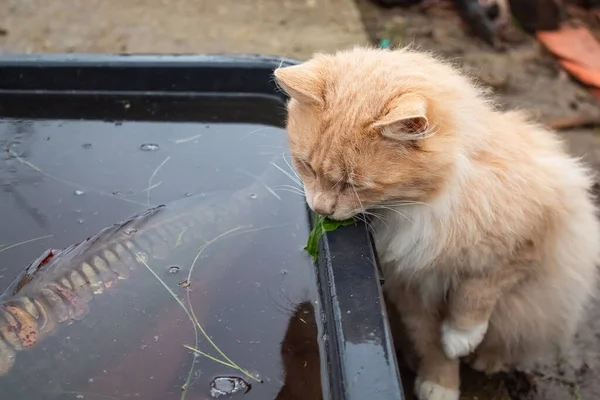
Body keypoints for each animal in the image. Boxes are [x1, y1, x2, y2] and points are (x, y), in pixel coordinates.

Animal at [274, 46, 600, 400]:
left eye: (355, 185)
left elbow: (477, 291)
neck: (422, 205)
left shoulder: (525, 244)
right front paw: (440, 380)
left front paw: (462, 337)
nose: (320, 208)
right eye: (306, 167)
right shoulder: (410, 286)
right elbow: (430, 341)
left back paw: (488, 359)